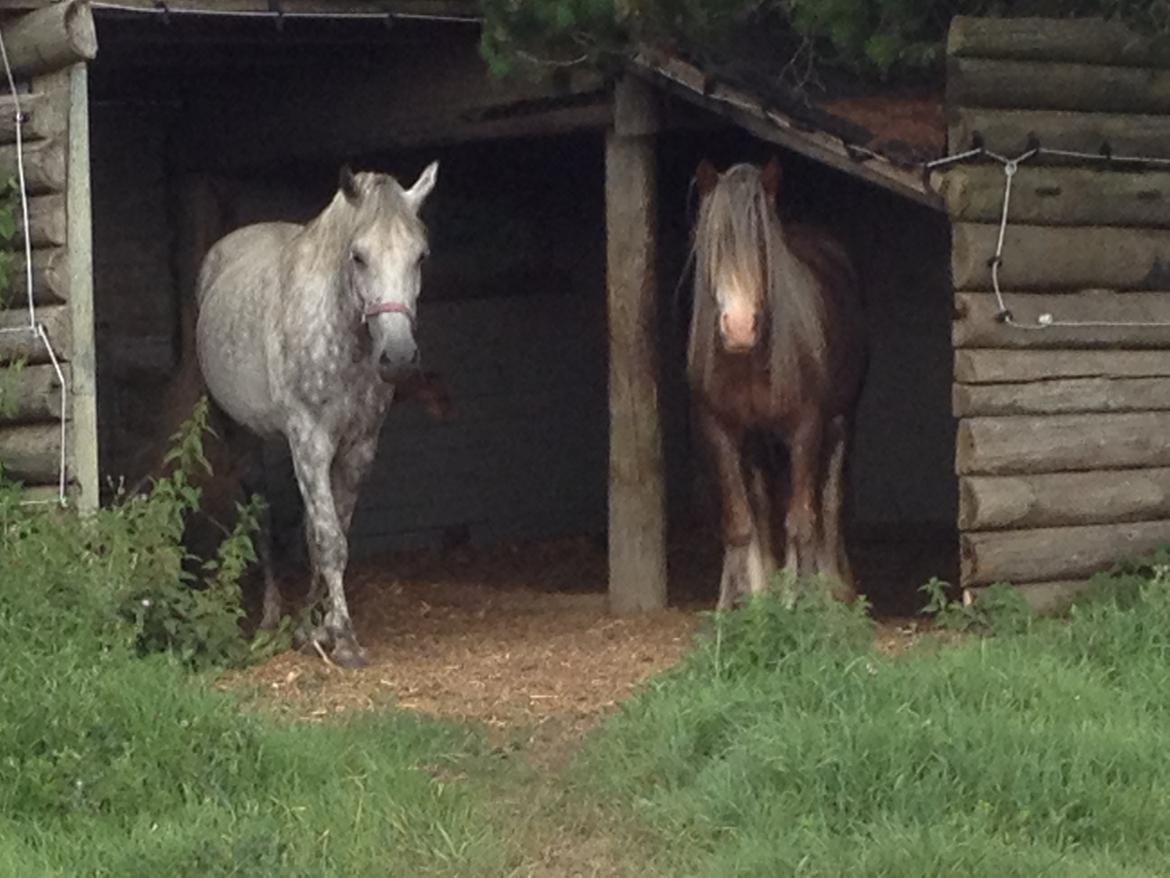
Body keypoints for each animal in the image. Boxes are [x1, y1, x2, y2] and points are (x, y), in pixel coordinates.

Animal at [195, 163, 439, 664]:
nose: (399, 357)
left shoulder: (359, 447)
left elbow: (327, 531)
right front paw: (343, 638)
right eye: (358, 257)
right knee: (259, 515)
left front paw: (315, 625)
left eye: (420, 256)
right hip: (241, 434)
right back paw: (269, 616)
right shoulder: (310, 441)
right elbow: (328, 539)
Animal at [683, 158, 870, 613]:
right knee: (766, 503)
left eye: (763, 246)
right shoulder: (721, 431)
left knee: (827, 503)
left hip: (840, 423)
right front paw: (742, 605)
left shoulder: (806, 427)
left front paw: (795, 605)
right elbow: (741, 522)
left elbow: (801, 520)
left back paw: (834, 587)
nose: (739, 328)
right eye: (713, 245)